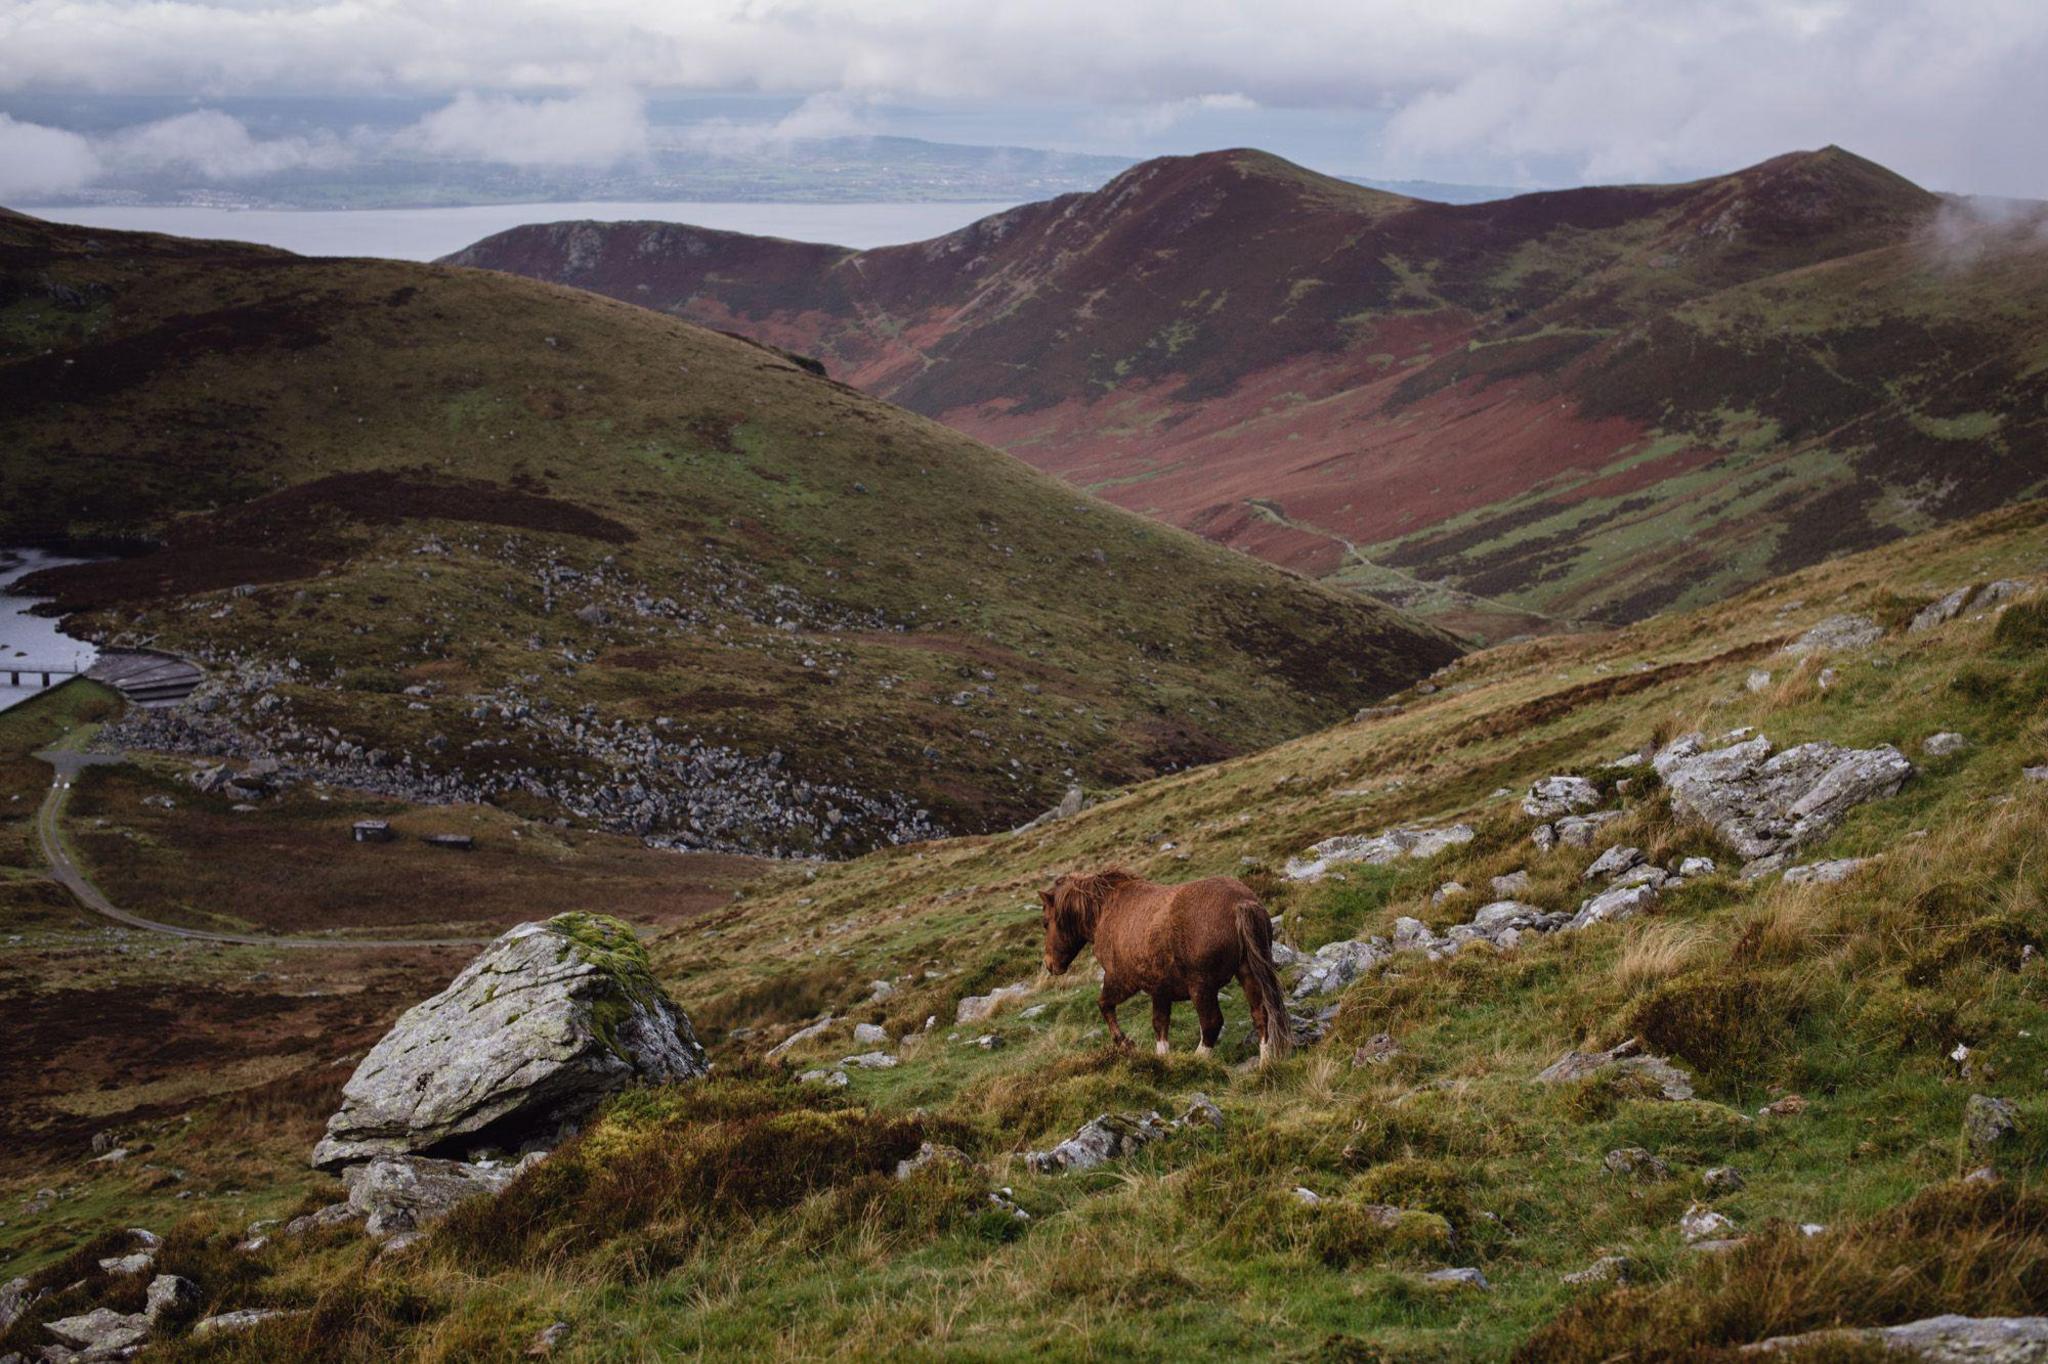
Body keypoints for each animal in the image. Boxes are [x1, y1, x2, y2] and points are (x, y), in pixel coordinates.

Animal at [1048, 872, 1286, 1064]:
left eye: (1045, 923)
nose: (1050, 965)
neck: (1107, 909)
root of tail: (1240, 903)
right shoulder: (1160, 989)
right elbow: (1160, 1024)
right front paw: (1161, 1057)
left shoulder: (1121, 980)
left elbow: (1104, 1005)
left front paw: (1125, 1043)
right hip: (1247, 973)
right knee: (1261, 1014)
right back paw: (1266, 1061)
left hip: (1201, 987)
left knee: (1212, 1022)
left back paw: (1196, 1060)